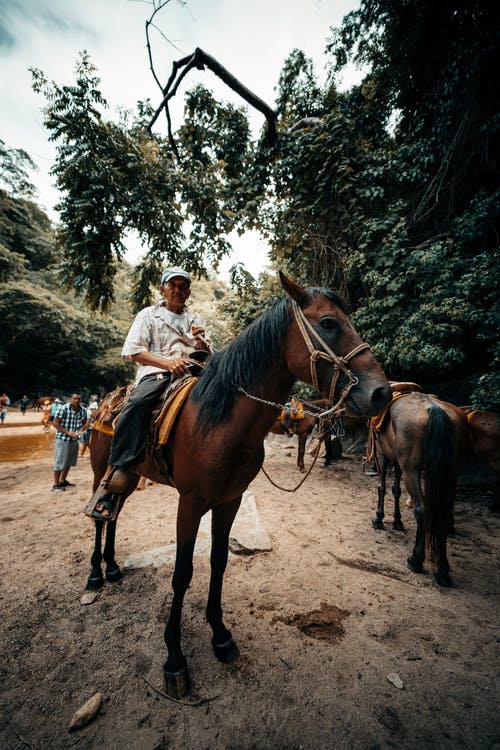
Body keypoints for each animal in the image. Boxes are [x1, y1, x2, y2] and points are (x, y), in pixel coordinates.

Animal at [85, 272, 390, 700]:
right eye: (329, 323)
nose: (381, 393)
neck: (221, 421)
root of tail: (107, 402)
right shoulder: (190, 503)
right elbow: (182, 573)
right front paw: (174, 657)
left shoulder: (228, 500)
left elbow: (219, 561)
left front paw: (220, 635)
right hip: (101, 469)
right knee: (101, 514)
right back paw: (96, 573)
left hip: (127, 476)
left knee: (115, 513)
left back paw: (112, 566)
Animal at [372, 394, 468, 588]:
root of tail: (435, 409)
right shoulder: (397, 460)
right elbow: (396, 490)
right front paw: (397, 521)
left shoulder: (382, 454)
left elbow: (382, 487)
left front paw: (379, 519)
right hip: (448, 473)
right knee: (441, 512)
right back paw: (442, 570)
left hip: (412, 469)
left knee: (421, 509)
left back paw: (416, 559)